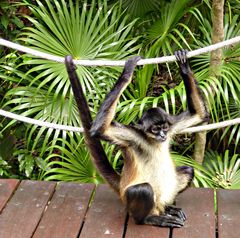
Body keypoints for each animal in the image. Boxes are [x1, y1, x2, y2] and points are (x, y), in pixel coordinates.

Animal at [65, 49, 208, 227]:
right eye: (155, 129)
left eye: (164, 127)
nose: (163, 135)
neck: (152, 140)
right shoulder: (133, 137)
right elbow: (98, 130)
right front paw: (127, 72)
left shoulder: (172, 124)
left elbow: (199, 115)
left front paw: (183, 65)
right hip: (130, 200)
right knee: (144, 189)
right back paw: (149, 218)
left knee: (188, 170)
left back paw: (168, 208)